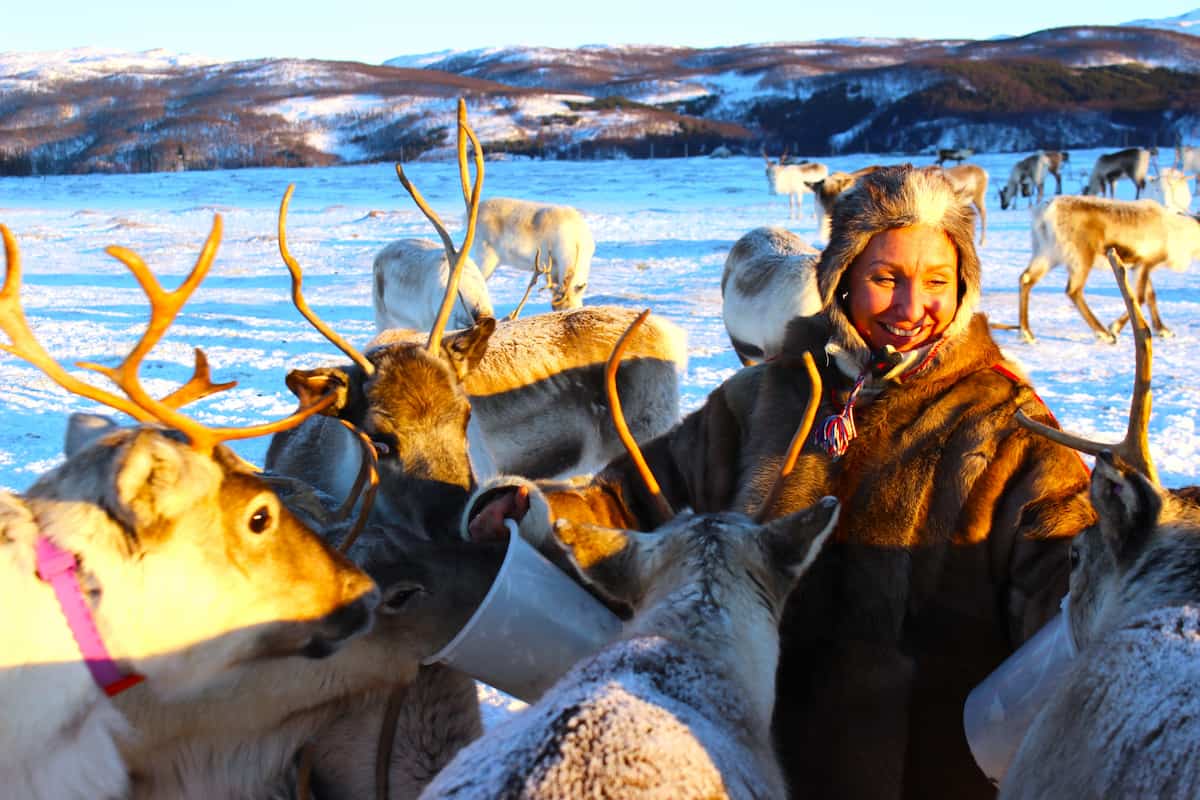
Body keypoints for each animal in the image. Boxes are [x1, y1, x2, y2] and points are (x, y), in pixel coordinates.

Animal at [1017, 195, 1200, 343]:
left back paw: (1027, 334)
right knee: (1074, 290)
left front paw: (1163, 330)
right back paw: (1104, 334)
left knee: (1026, 279)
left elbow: (1150, 296)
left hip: (1047, 254)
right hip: (1081, 257)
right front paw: (1115, 327)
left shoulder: (1139, 266)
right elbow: (1139, 298)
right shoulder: (1145, 264)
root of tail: (1045, 213)